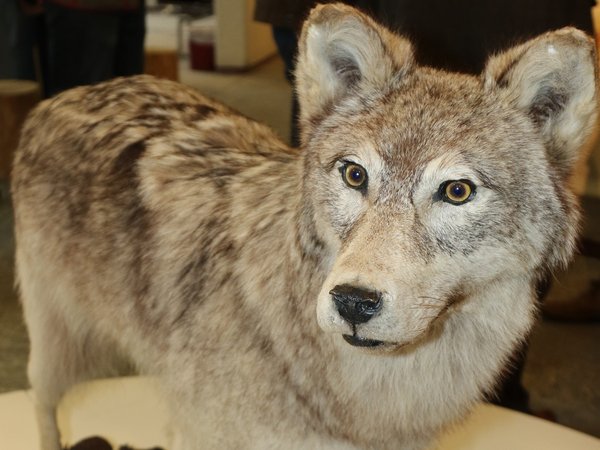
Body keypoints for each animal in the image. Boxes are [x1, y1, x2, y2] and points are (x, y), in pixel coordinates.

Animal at [11, 3, 596, 450]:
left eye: (457, 191)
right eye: (355, 174)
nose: (353, 301)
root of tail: (64, 95)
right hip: (57, 347)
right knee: (41, 404)